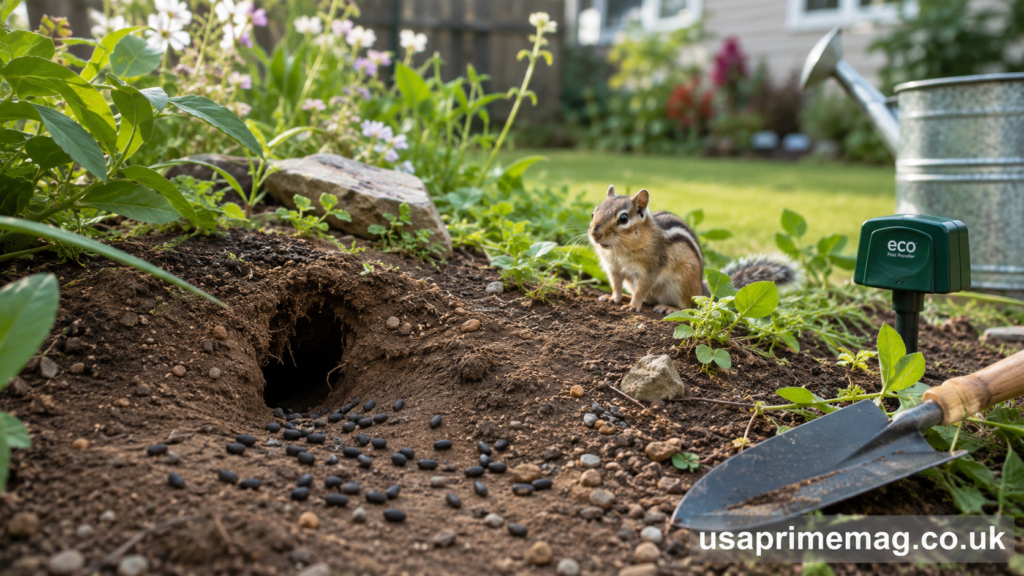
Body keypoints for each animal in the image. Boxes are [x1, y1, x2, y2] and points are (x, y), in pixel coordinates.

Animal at [589, 185, 796, 314]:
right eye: (594, 212)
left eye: (623, 219)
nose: (595, 233)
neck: (618, 250)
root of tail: (702, 290)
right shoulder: (613, 268)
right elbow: (615, 283)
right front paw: (614, 297)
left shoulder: (651, 268)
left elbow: (643, 289)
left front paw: (633, 305)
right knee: (651, 300)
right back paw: (627, 296)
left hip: (682, 283)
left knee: (689, 306)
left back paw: (669, 308)